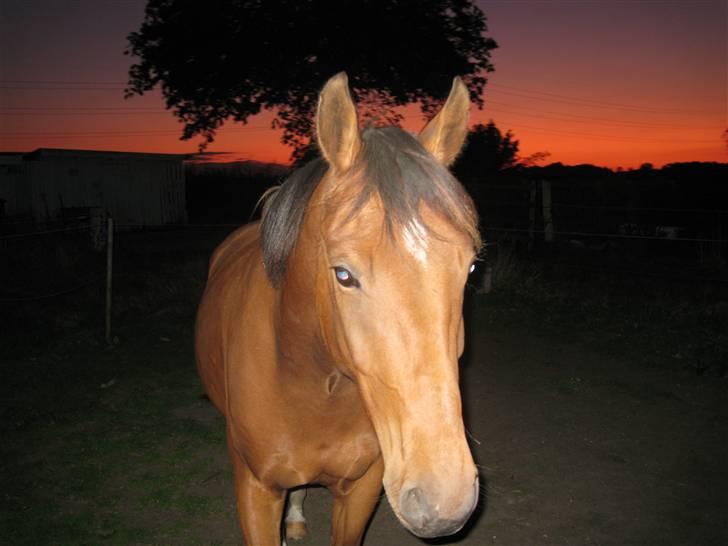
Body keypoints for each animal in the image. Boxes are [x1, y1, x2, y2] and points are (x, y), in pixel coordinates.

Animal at [195, 73, 484, 544]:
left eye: (472, 268)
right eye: (343, 275)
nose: (443, 501)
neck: (313, 387)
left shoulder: (361, 490)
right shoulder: (256, 492)